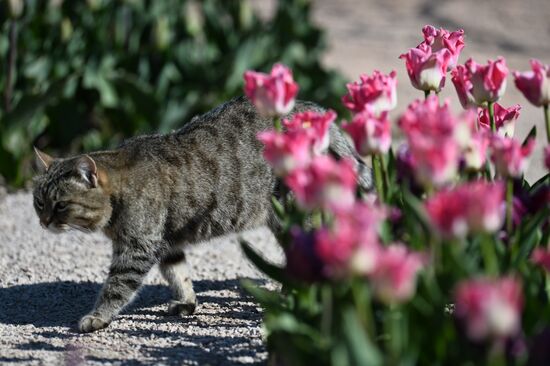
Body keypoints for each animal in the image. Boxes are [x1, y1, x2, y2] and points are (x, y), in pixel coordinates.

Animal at [32, 96, 374, 332]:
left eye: (60, 205)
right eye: (38, 202)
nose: (43, 222)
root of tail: (312, 111)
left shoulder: (137, 248)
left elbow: (116, 288)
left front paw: (97, 317)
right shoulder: (166, 243)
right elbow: (178, 273)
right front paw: (187, 302)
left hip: (294, 215)